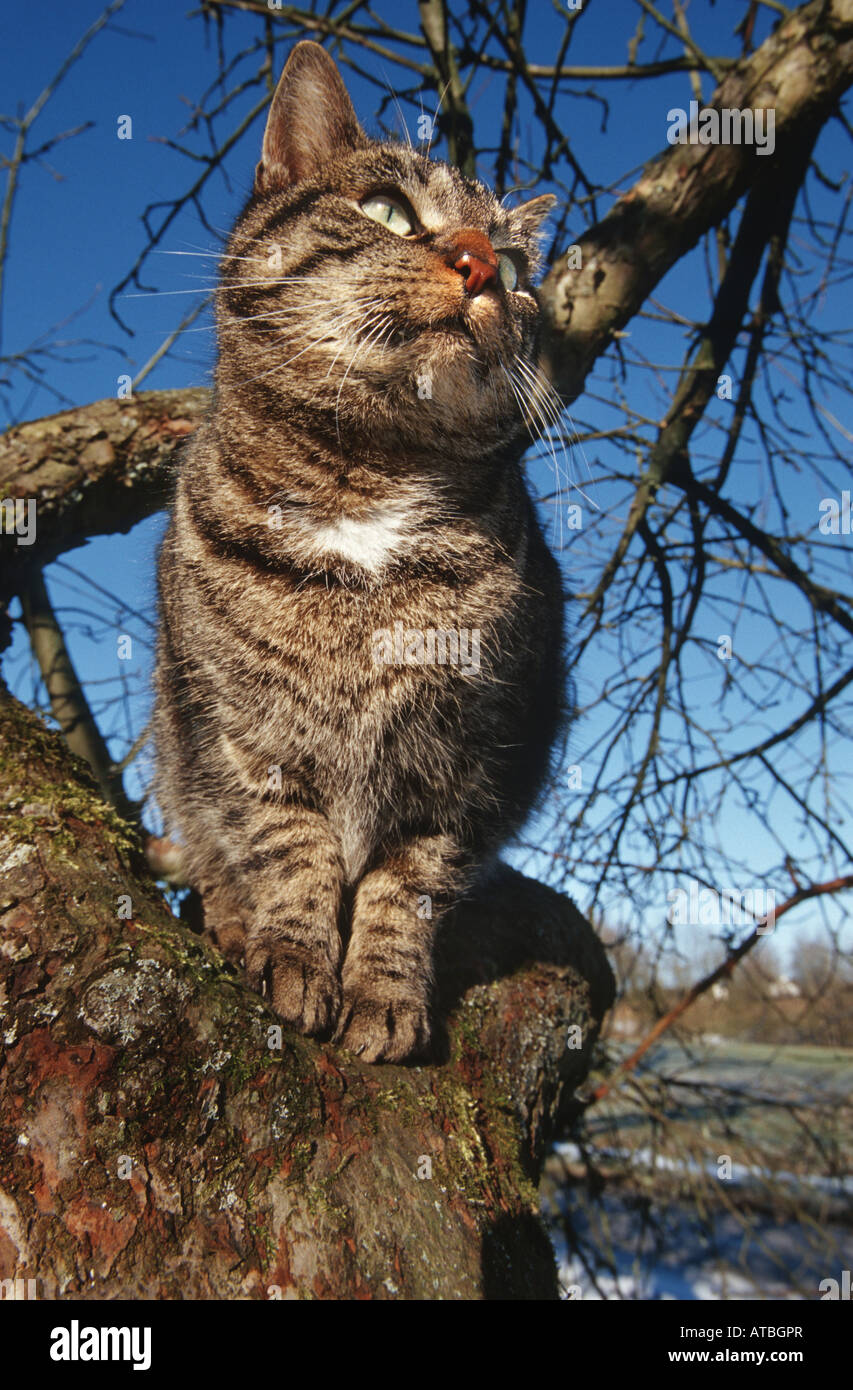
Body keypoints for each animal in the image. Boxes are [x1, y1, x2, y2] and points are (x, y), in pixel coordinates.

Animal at [153, 40, 569, 1061]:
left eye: (513, 263)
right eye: (387, 210)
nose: (478, 265)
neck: (368, 488)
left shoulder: (463, 760)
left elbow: (406, 886)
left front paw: (383, 996)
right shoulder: (243, 739)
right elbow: (285, 850)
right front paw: (293, 959)